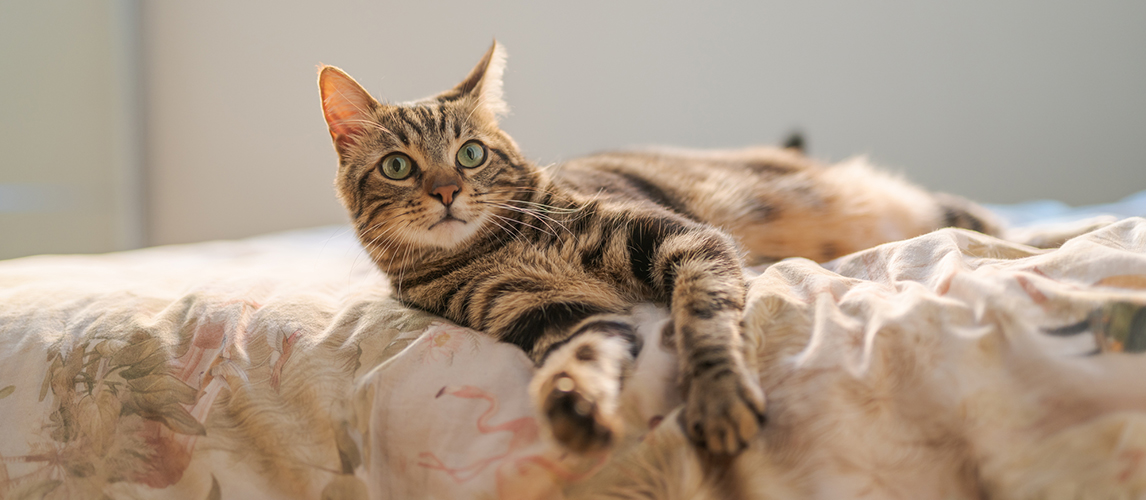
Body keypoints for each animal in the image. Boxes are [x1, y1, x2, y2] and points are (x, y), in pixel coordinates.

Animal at [318, 41, 999, 456]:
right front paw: (572, 406)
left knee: (971, 215)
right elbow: (581, 356)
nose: (447, 191)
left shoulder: (681, 238)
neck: (495, 250)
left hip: (905, 206)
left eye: (470, 154)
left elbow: (702, 319)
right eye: (399, 166)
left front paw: (718, 399)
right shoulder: (547, 313)